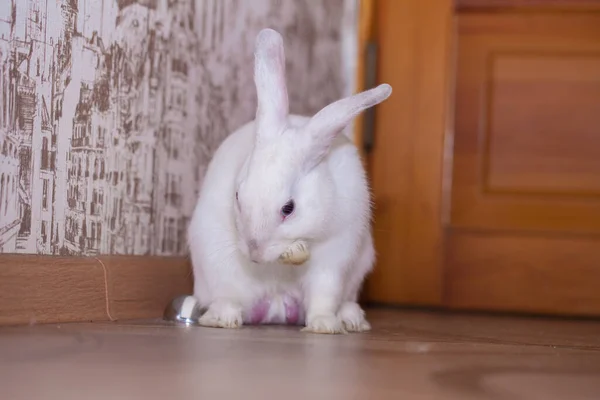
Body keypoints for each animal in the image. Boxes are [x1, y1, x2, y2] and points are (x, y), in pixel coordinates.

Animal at [189, 28, 394, 334]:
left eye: (289, 208)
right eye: (238, 197)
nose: (255, 252)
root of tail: (277, 305)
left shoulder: (333, 260)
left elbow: (322, 295)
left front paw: (323, 326)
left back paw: (350, 319)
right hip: (215, 263)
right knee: (229, 298)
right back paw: (221, 318)